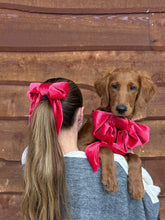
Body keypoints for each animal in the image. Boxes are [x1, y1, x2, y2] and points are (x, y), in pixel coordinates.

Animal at [78, 69, 156, 199]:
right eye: (114, 86)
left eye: (133, 87)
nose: (121, 108)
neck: (117, 123)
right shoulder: (80, 145)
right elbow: (105, 148)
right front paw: (110, 178)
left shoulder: (124, 151)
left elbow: (136, 158)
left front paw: (137, 186)